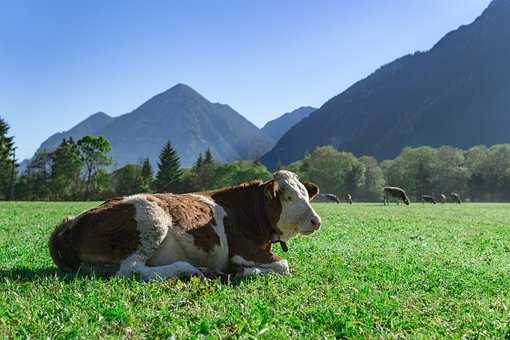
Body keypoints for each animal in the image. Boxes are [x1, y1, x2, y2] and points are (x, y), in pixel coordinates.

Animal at [50, 171, 322, 280]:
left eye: (306, 195)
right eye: (288, 197)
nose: (316, 220)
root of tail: (72, 221)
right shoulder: (244, 250)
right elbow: (284, 265)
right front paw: (245, 272)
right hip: (152, 219)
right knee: (131, 269)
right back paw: (189, 270)